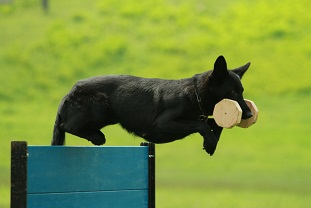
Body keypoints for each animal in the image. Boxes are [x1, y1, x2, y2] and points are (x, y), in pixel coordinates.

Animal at [51, 55, 252, 156]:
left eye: (242, 91)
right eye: (232, 93)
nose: (250, 115)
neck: (195, 94)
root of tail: (68, 94)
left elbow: (213, 123)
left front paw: (211, 142)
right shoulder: (164, 123)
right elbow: (201, 124)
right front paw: (210, 142)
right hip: (101, 108)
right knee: (67, 125)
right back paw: (95, 136)